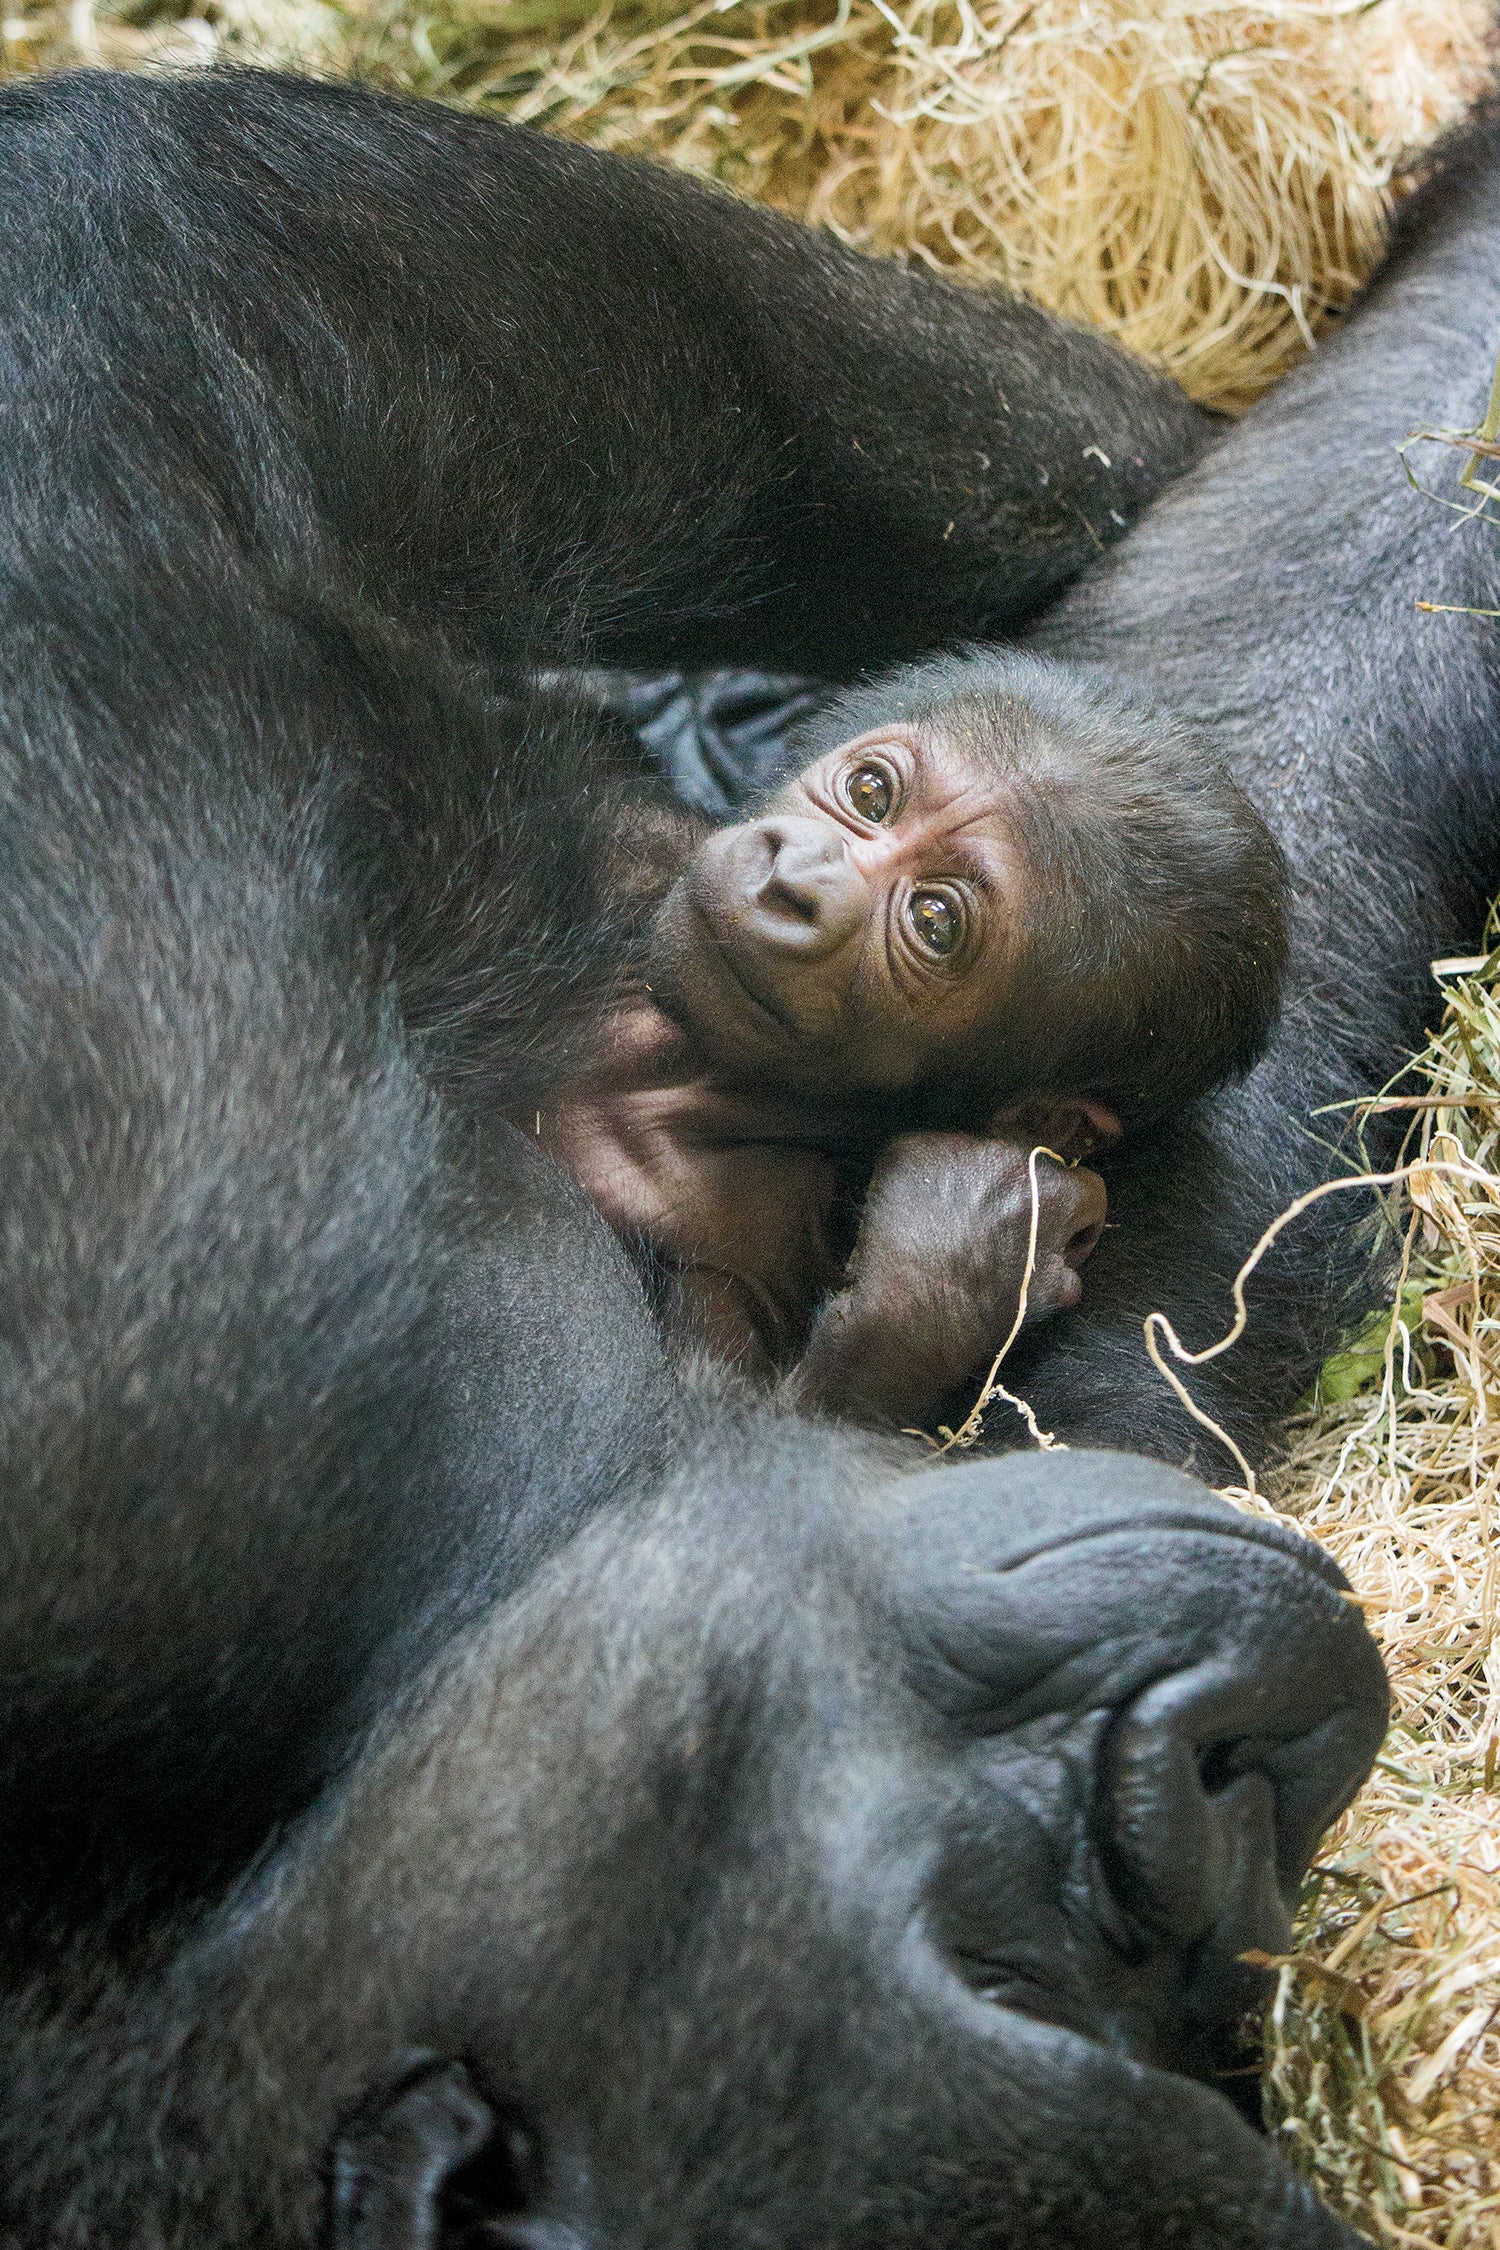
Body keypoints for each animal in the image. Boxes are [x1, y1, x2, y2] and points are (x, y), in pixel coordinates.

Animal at [532, 652, 1286, 1422]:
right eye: (870, 793)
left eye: (934, 920)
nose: (794, 880)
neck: (683, 1065)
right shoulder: (637, 838)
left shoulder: (757, 1252)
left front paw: (951, 1266)